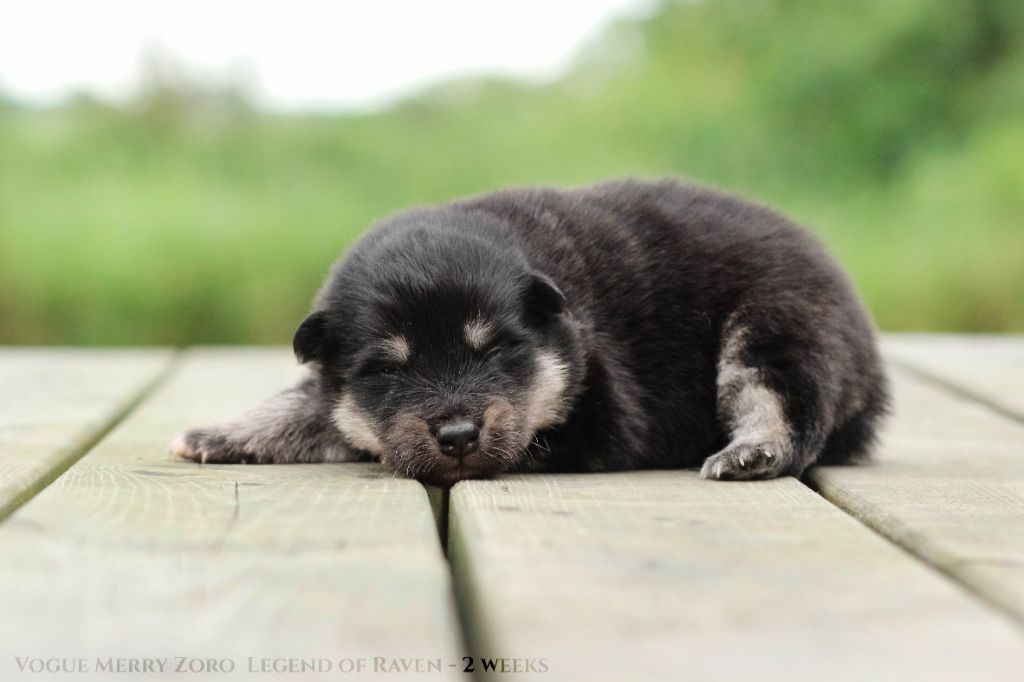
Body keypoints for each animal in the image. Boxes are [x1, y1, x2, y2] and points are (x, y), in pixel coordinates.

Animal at [171, 179, 888, 486]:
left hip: (779, 325)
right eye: (387, 370)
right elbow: (309, 406)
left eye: (496, 349)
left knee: (785, 405)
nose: (457, 435)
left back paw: (751, 452)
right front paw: (220, 434)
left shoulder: (607, 414)